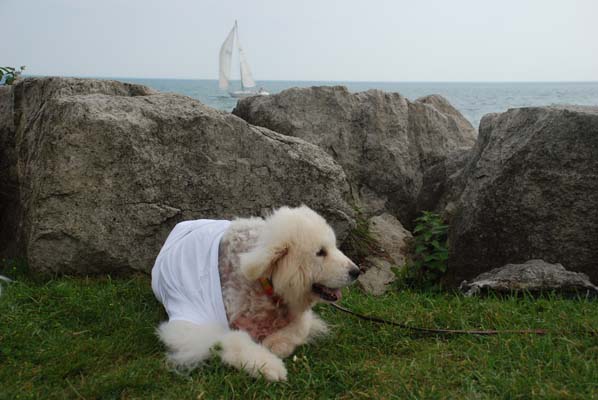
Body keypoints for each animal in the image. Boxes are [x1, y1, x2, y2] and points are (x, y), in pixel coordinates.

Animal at [154, 206, 360, 382]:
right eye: (320, 252)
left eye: (334, 247)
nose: (356, 271)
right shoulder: (189, 326)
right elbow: (231, 339)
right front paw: (267, 365)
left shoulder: (299, 314)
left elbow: (298, 328)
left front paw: (275, 344)